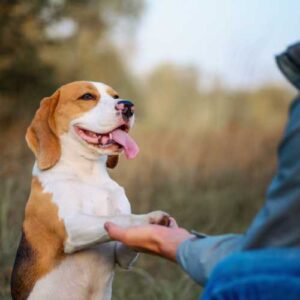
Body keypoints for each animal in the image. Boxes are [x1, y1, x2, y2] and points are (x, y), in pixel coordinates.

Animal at [11, 81, 169, 300]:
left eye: (115, 96)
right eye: (87, 96)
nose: (128, 106)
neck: (89, 174)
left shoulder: (121, 255)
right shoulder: (71, 227)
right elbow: (118, 219)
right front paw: (150, 218)